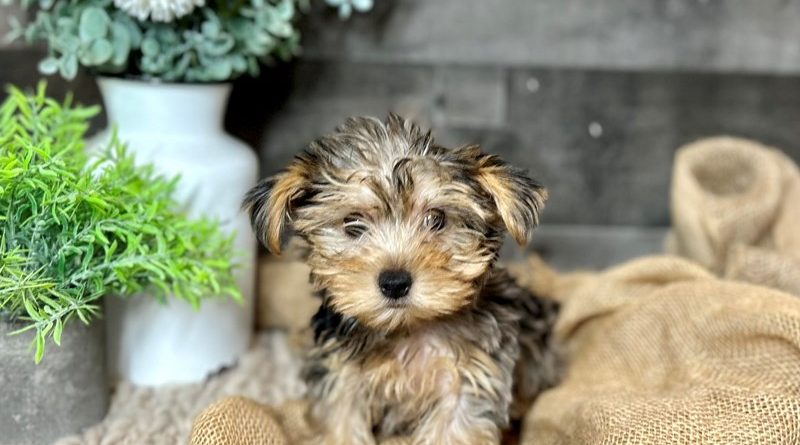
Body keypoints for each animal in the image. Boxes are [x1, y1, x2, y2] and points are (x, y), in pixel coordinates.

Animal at [244, 115, 560, 445]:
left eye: (437, 219)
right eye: (352, 223)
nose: (395, 283)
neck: (407, 329)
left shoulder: (469, 380)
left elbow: (452, 429)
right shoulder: (340, 374)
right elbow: (340, 422)